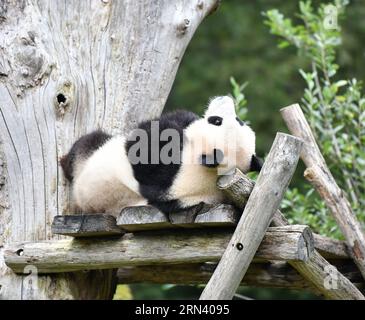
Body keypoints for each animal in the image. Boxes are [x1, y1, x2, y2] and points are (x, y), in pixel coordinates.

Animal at [59, 95, 260, 215]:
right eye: (239, 120)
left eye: (216, 121)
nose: (225, 97)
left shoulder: (170, 176)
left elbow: (145, 143)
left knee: (87, 143)